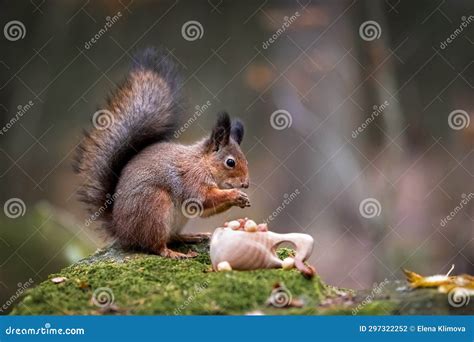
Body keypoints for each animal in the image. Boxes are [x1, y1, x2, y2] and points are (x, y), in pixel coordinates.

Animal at [73, 46, 252, 258]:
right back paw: (173, 253)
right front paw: (235, 195)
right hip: (155, 208)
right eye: (230, 162)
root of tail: (121, 230)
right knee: (155, 245)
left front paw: (242, 199)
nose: (246, 184)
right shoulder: (192, 180)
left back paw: (191, 236)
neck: (203, 163)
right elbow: (204, 198)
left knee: (172, 236)